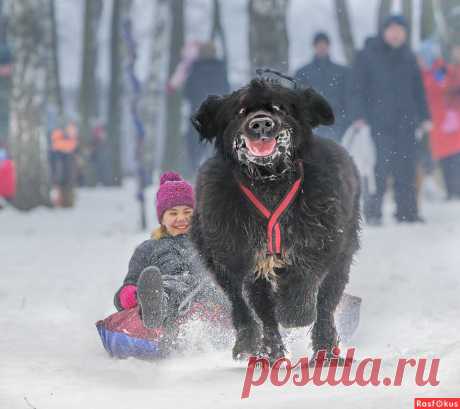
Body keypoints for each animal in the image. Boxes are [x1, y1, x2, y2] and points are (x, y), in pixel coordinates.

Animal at [189, 76, 362, 364]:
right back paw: (257, 346)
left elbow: (305, 280)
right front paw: (267, 341)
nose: (261, 122)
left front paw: (295, 313)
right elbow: (258, 306)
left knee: (326, 304)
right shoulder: (244, 256)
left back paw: (325, 349)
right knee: (244, 305)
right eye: (240, 111)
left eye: (279, 107)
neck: (269, 182)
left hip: (342, 256)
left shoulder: (321, 241)